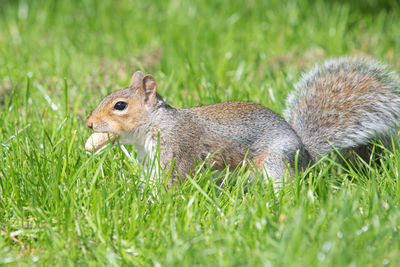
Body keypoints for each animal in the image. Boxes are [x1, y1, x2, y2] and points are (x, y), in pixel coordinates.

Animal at [86, 58, 400, 188]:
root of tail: (306, 154)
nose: (89, 124)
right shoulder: (150, 160)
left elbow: (171, 182)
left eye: (120, 106)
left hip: (275, 161)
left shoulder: (178, 151)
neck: (156, 124)